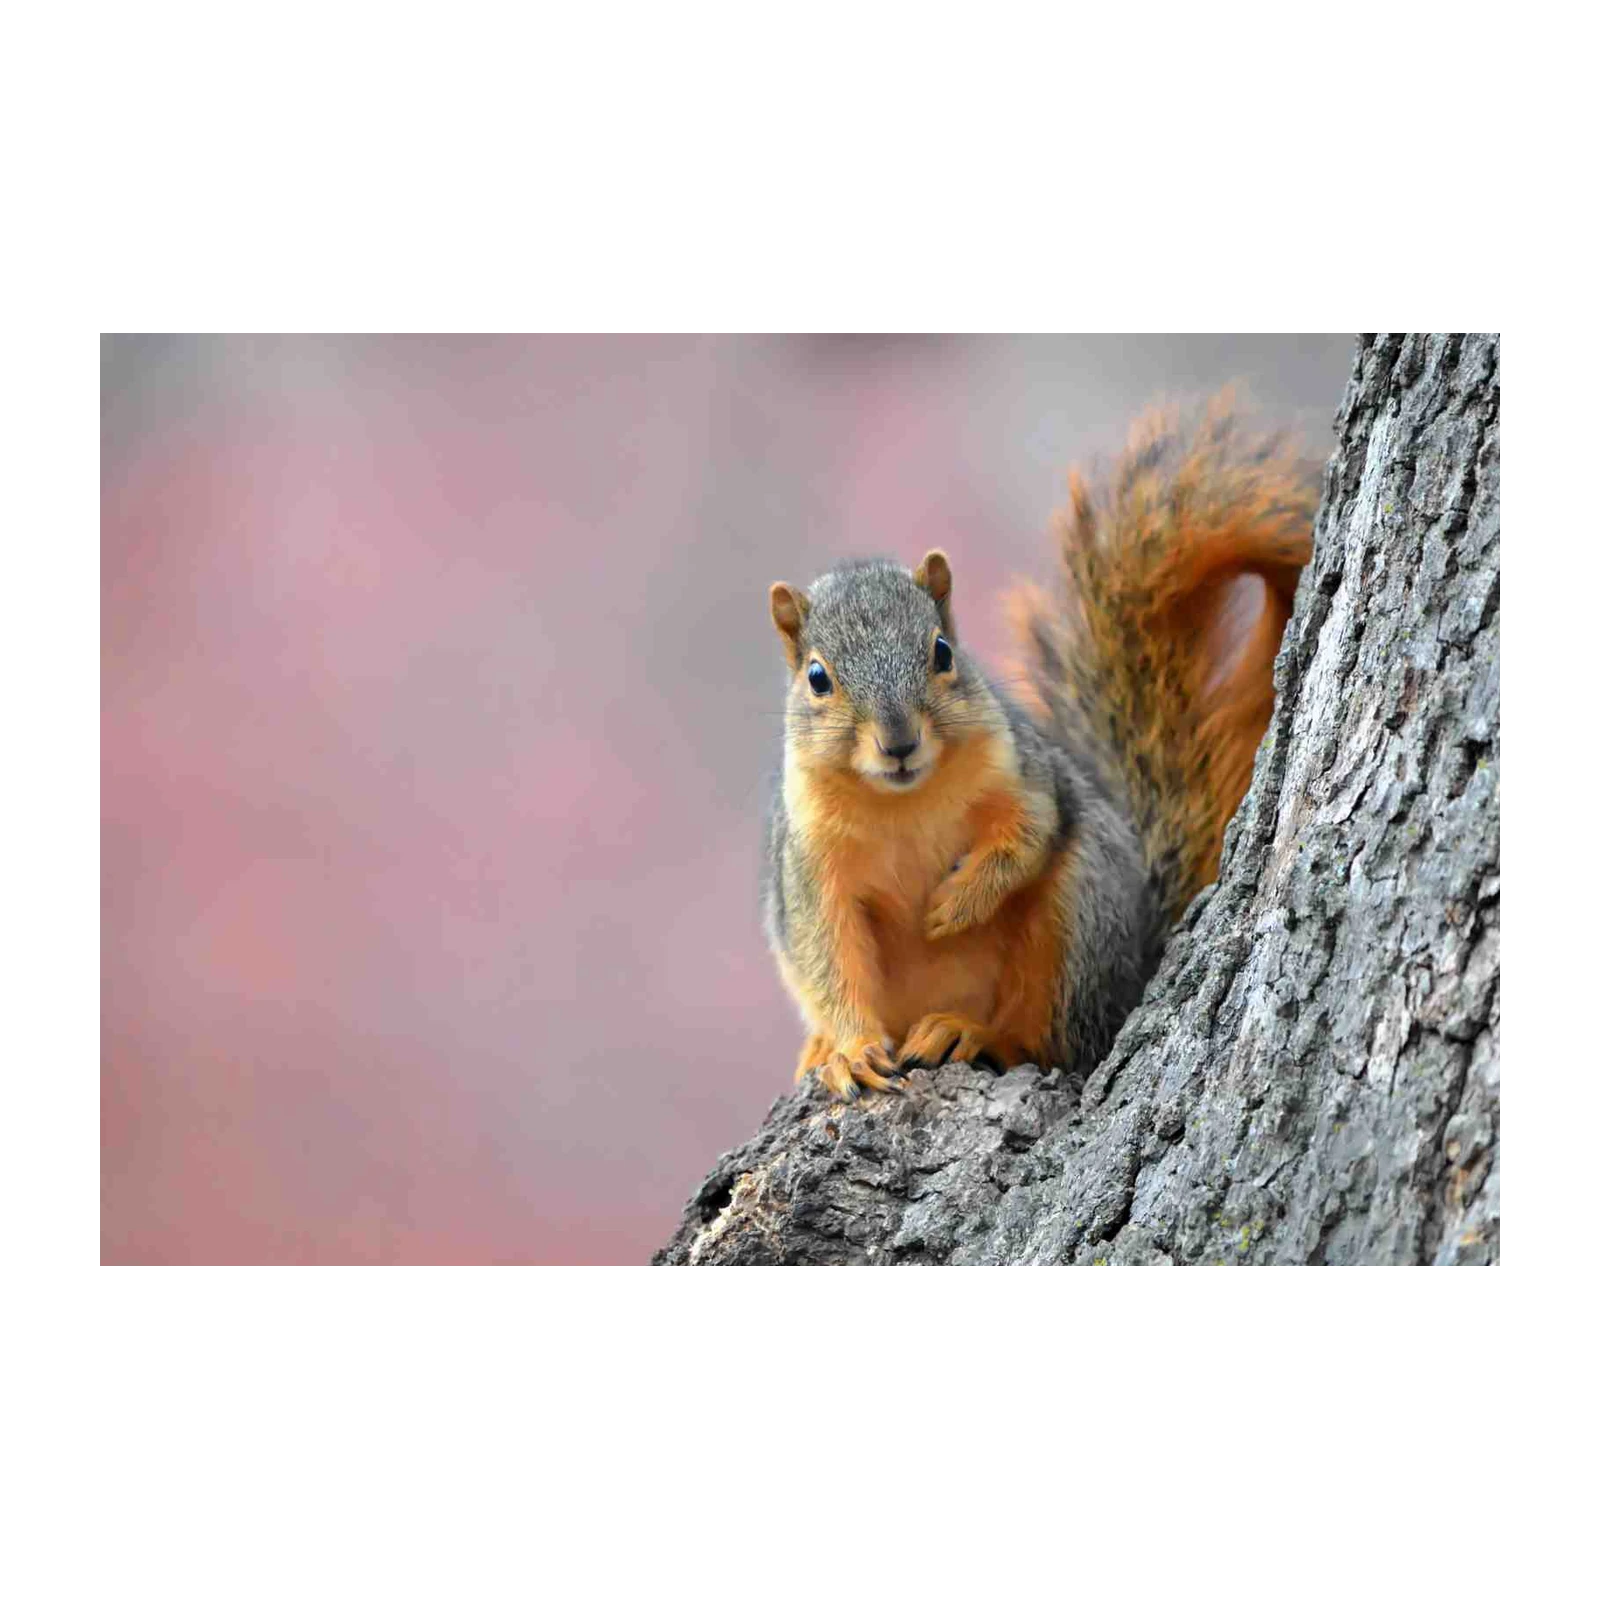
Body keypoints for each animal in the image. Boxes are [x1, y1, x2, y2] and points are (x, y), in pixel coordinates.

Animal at [763, 390, 1318, 1100]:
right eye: (817, 678)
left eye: (942, 652)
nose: (898, 742)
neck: (902, 803)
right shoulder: (810, 866)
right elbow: (828, 958)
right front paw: (852, 1052)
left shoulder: (1022, 771)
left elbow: (1030, 832)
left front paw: (955, 905)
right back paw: (823, 1048)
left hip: (1079, 913)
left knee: (1051, 1038)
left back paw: (970, 1032)